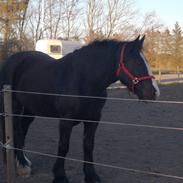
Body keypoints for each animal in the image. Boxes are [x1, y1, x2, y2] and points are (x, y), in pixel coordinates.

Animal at [0, 36, 159, 183]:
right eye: (136, 62)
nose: (154, 92)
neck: (82, 79)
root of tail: (9, 61)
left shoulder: (94, 119)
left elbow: (88, 146)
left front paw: (91, 176)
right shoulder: (66, 120)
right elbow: (63, 146)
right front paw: (60, 176)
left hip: (30, 109)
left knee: (22, 131)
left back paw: (23, 162)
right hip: (14, 106)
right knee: (16, 131)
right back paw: (20, 164)